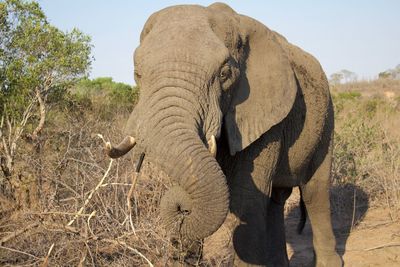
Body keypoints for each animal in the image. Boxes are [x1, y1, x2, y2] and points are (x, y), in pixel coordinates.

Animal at [104, 2, 342, 267]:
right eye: (137, 74)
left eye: (224, 74)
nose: (182, 208)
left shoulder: (266, 117)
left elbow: (247, 200)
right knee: (276, 200)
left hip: (327, 119)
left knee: (315, 192)